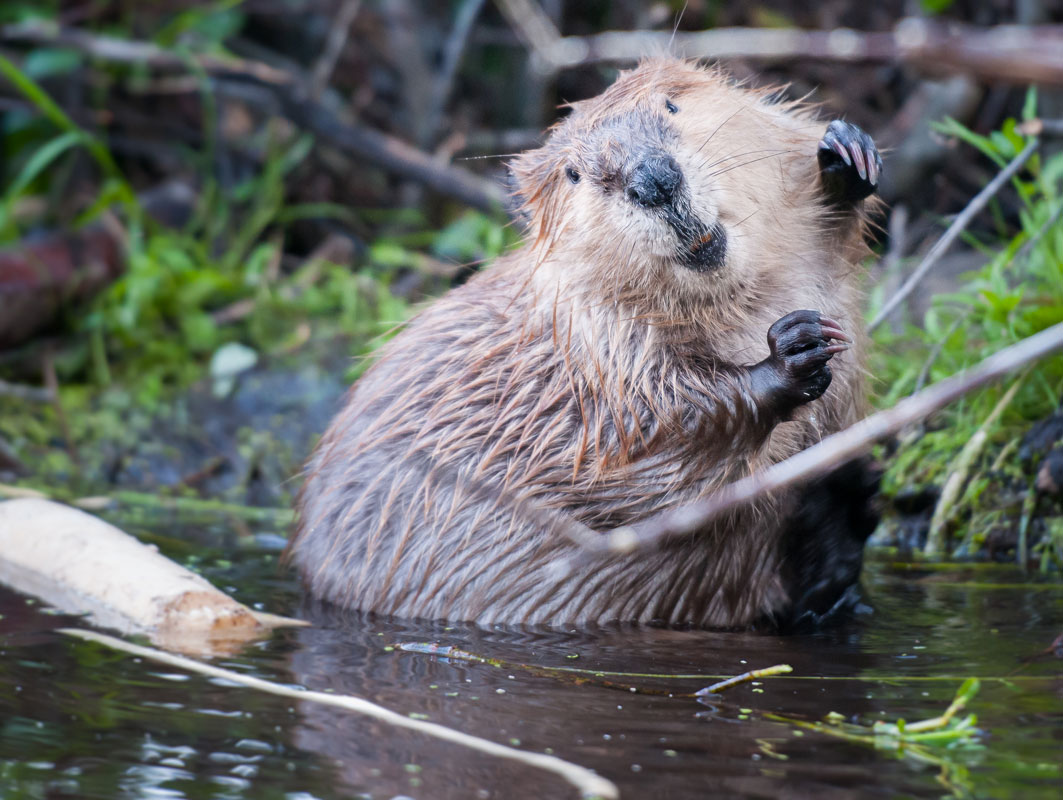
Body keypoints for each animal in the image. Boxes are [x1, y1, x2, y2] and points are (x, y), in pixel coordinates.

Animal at [291, 59, 880, 628]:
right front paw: (793, 351)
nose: (654, 180)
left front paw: (846, 156)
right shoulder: (594, 353)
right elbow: (648, 456)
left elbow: (830, 241)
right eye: (574, 173)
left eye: (671, 104)